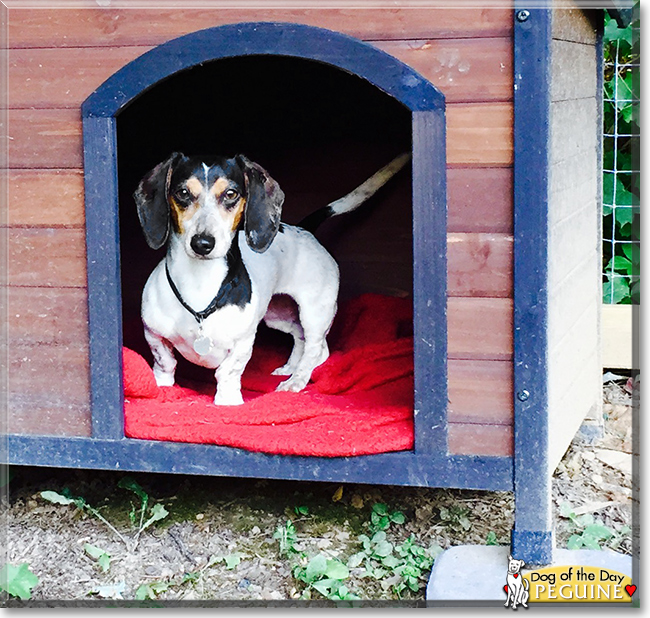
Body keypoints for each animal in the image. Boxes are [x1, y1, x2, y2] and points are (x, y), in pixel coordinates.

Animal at [134, 152, 408, 404]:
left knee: (316, 347)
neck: (200, 287)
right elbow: (165, 363)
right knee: (301, 338)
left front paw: (227, 401)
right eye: (182, 192)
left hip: (315, 313)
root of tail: (304, 229)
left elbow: (228, 372)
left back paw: (297, 380)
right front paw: (162, 388)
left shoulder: (243, 342)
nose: (203, 243)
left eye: (231, 194)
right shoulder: (154, 334)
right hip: (279, 315)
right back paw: (290, 369)